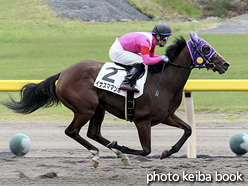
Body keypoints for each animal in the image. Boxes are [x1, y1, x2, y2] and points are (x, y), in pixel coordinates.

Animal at [2, 32, 231, 168]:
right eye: (206, 48)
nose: (225, 64)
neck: (163, 80)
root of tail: (63, 73)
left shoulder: (166, 116)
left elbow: (188, 129)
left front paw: (167, 151)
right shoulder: (142, 121)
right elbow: (146, 150)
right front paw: (126, 148)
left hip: (98, 108)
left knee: (93, 132)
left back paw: (114, 151)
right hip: (86, 108)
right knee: (72, 131)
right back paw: (101, 153)